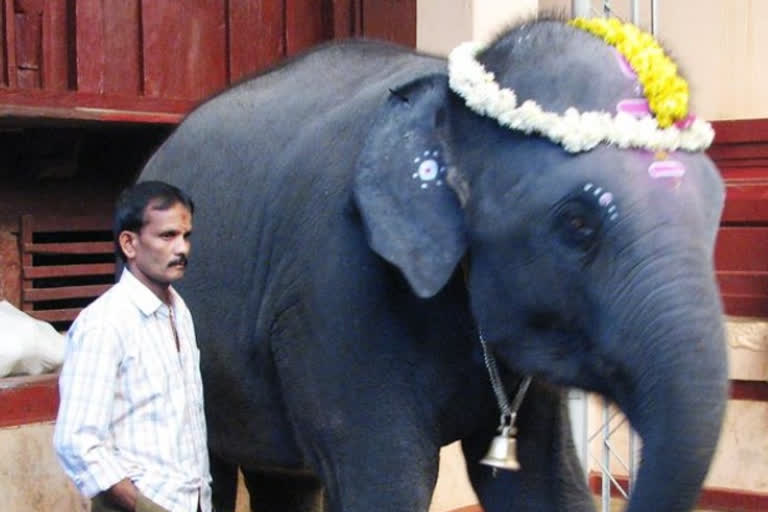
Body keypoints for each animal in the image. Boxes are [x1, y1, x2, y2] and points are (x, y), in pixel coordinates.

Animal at [136, 13, 728, 512]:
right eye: (577, 224)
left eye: (717, 208)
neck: (447, 94)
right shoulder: (332, 291)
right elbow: (388, 482)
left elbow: (539, 483)